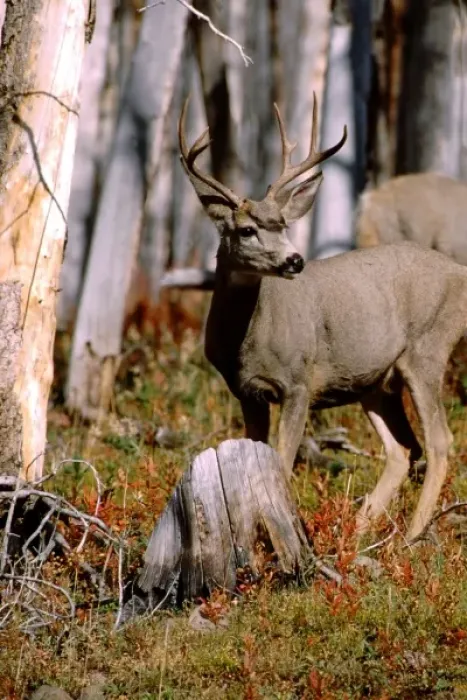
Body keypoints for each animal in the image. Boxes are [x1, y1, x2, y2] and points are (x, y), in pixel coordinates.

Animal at [178, 96, 467, 542]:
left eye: (283, 224)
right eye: (246, 230)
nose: (294, 260)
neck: (247, 341)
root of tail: (460, 274)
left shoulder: (298, 382)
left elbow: (281, 463)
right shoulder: (246, 391)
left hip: (428, 349)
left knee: (439, 441)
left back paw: (410, 536)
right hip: (374, 382)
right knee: (401, 449)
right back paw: (361, 530)